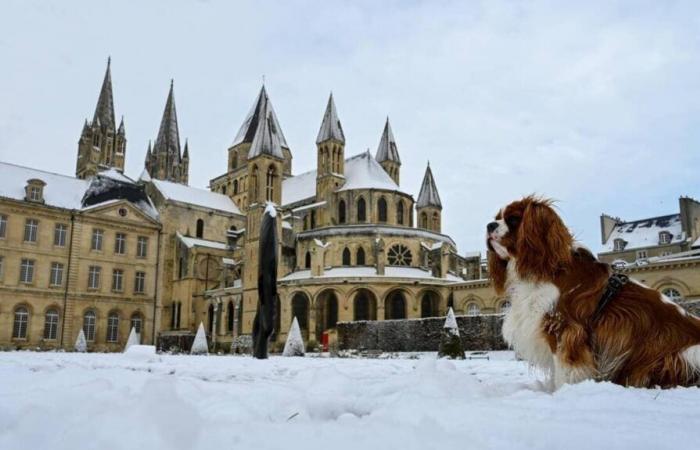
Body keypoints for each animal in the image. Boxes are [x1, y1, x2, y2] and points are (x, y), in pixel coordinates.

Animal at [486, 195, 700, 388]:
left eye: (513, 219)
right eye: (497, 217)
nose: (489, 225)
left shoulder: (564, 328)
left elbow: (563, 371)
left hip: (681, 355)